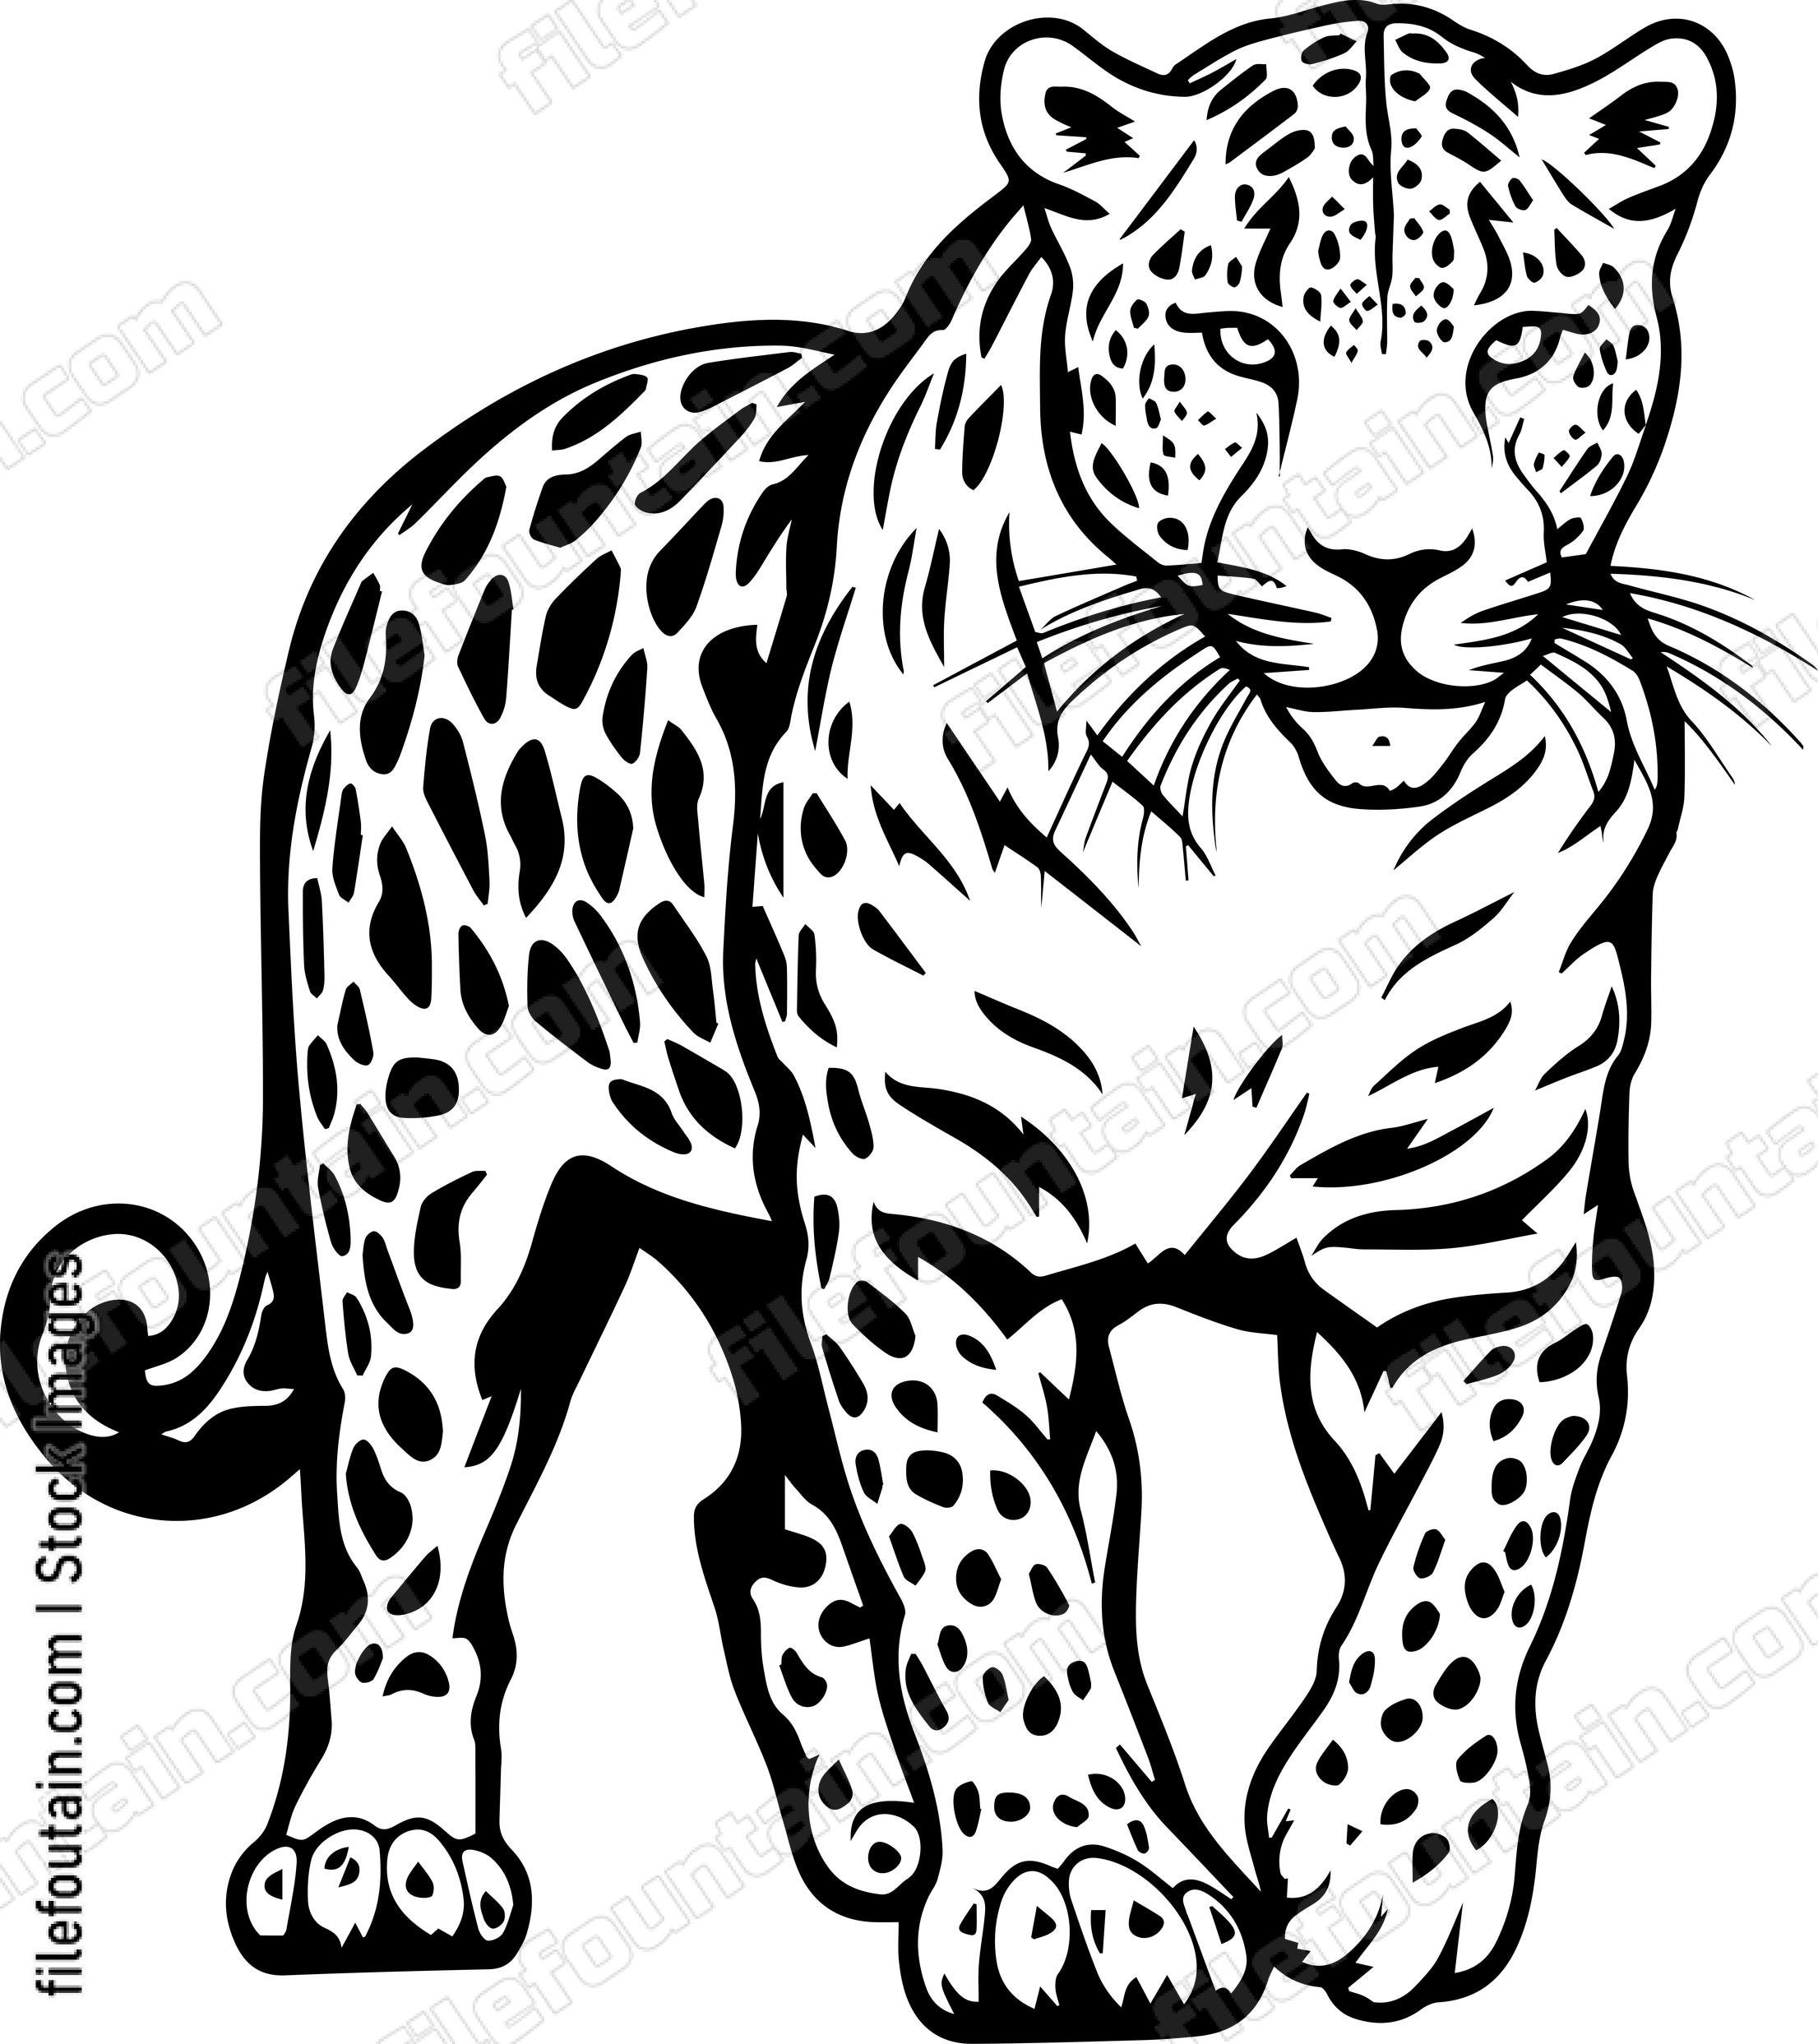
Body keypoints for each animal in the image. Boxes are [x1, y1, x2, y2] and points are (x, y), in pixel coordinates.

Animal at [2, 5, 1751, 2033]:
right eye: (1240, 339)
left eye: (1518, 338)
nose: (1391, 573)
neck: (1281, 837)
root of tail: (416, 503)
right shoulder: (937, 1233)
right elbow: (992, 1565)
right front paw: (1083, 1887)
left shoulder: (1489, 1255)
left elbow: (1466, 1557)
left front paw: (1386, 1855)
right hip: (431, 1184)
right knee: (399, 1521)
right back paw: (381, 1855)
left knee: (760, 1510)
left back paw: (883, 1826)